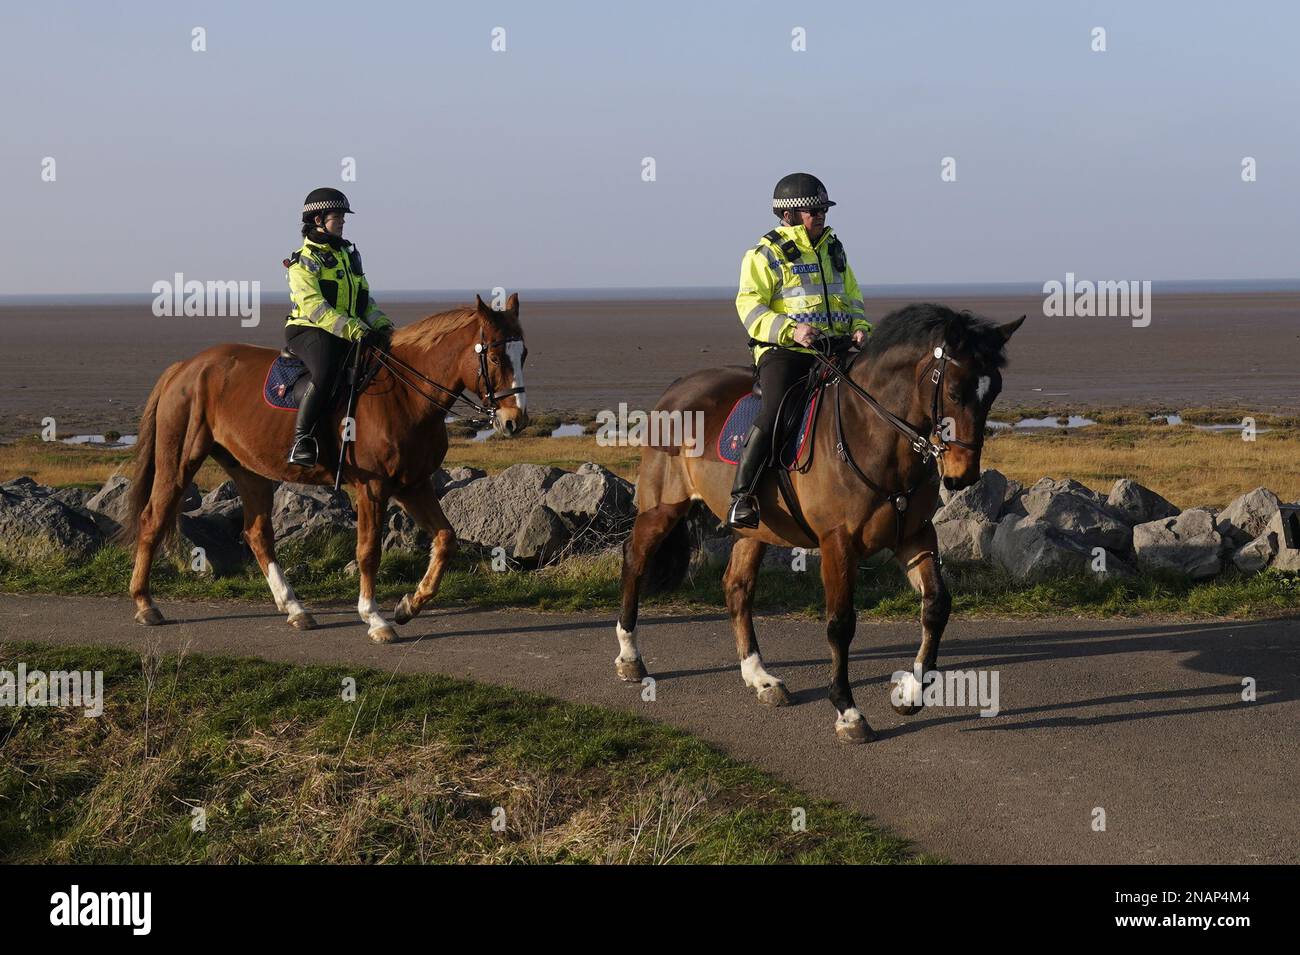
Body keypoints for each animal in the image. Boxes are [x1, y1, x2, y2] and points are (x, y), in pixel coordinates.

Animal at [120, 294, 527, 647]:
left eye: (523, 352)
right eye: (494, 357)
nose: (515, 421)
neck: (404, 395)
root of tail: (185, 368)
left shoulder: (413, 484)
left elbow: (445, 539)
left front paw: (409, 606)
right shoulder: (373, 487)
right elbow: (368, 551)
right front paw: (375, 618)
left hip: (250, 471)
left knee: (256, 534)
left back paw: (295, 608)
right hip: (179, 462)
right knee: (153, 519)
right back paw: (145, 603)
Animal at [613, 304, 1019, 738]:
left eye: (993, 392)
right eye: (956, 392)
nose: (963, 476)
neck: (872, 435)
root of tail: (678, 387)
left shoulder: (915, 536)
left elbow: (937, 605)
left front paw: (911, 694)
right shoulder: (837, 543)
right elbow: (840, 623)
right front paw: (847, 711)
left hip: (753, 529)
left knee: (737, 587)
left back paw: (760, 678)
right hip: (662, 508)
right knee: (635, 559)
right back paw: (630, 657)